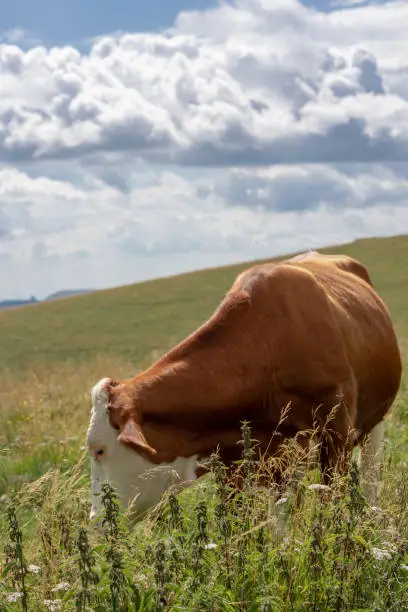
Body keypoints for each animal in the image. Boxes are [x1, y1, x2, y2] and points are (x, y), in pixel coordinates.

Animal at [86, 249, 402, 524]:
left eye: (99, 450)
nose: (95, 520)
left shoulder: (336, 436)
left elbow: (329, 509)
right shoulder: (238, 462)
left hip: (373, 425)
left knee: (371, 478)